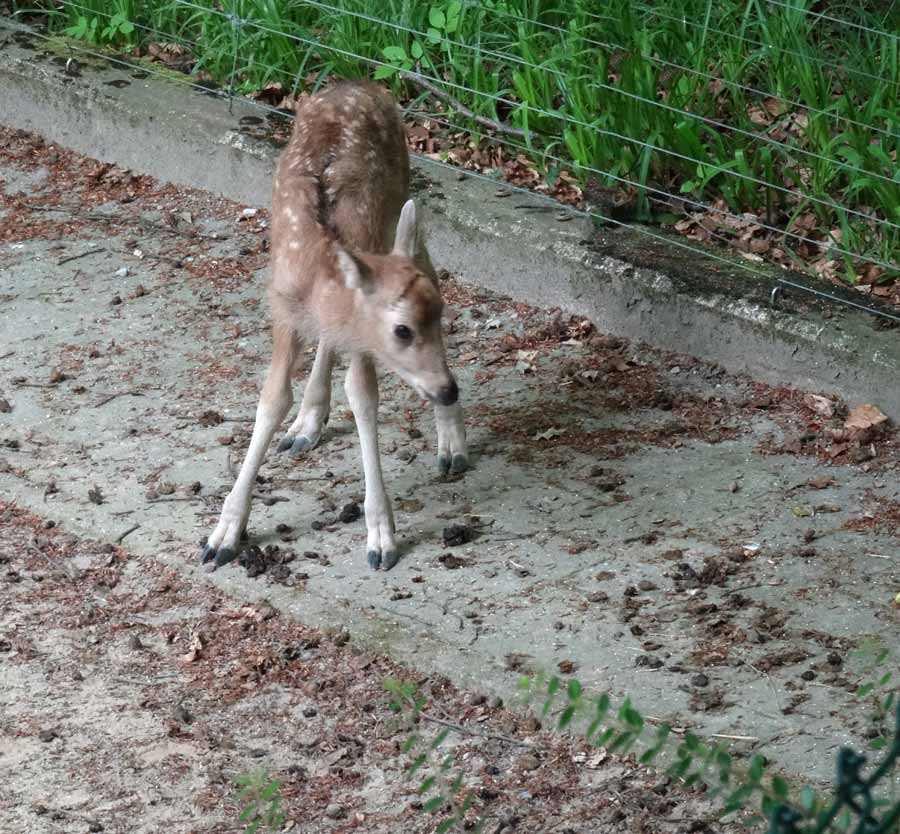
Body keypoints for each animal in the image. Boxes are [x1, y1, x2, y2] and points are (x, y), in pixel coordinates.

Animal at [201, 78, 468, 572]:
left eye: (441, 314)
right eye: (402, 330)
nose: (447, 389)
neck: (318, 276)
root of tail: (361, 83)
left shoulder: (360, 328)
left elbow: (361, 397)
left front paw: (380, 536)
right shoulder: (283, 310)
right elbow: (272, 401)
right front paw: (223, 534)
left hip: (400, 209)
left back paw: (451, 446)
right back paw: (307, 423)